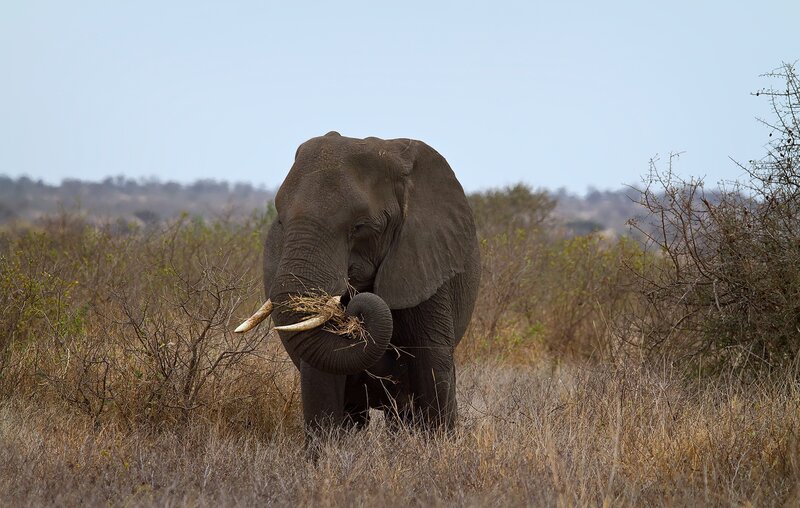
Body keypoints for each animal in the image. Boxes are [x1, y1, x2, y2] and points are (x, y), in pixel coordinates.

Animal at [236, 131, 480, 436]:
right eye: (281, 221)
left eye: (360, 227)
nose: (353, 311)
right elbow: (321, 378)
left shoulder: (427, 261)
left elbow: (433, 365)